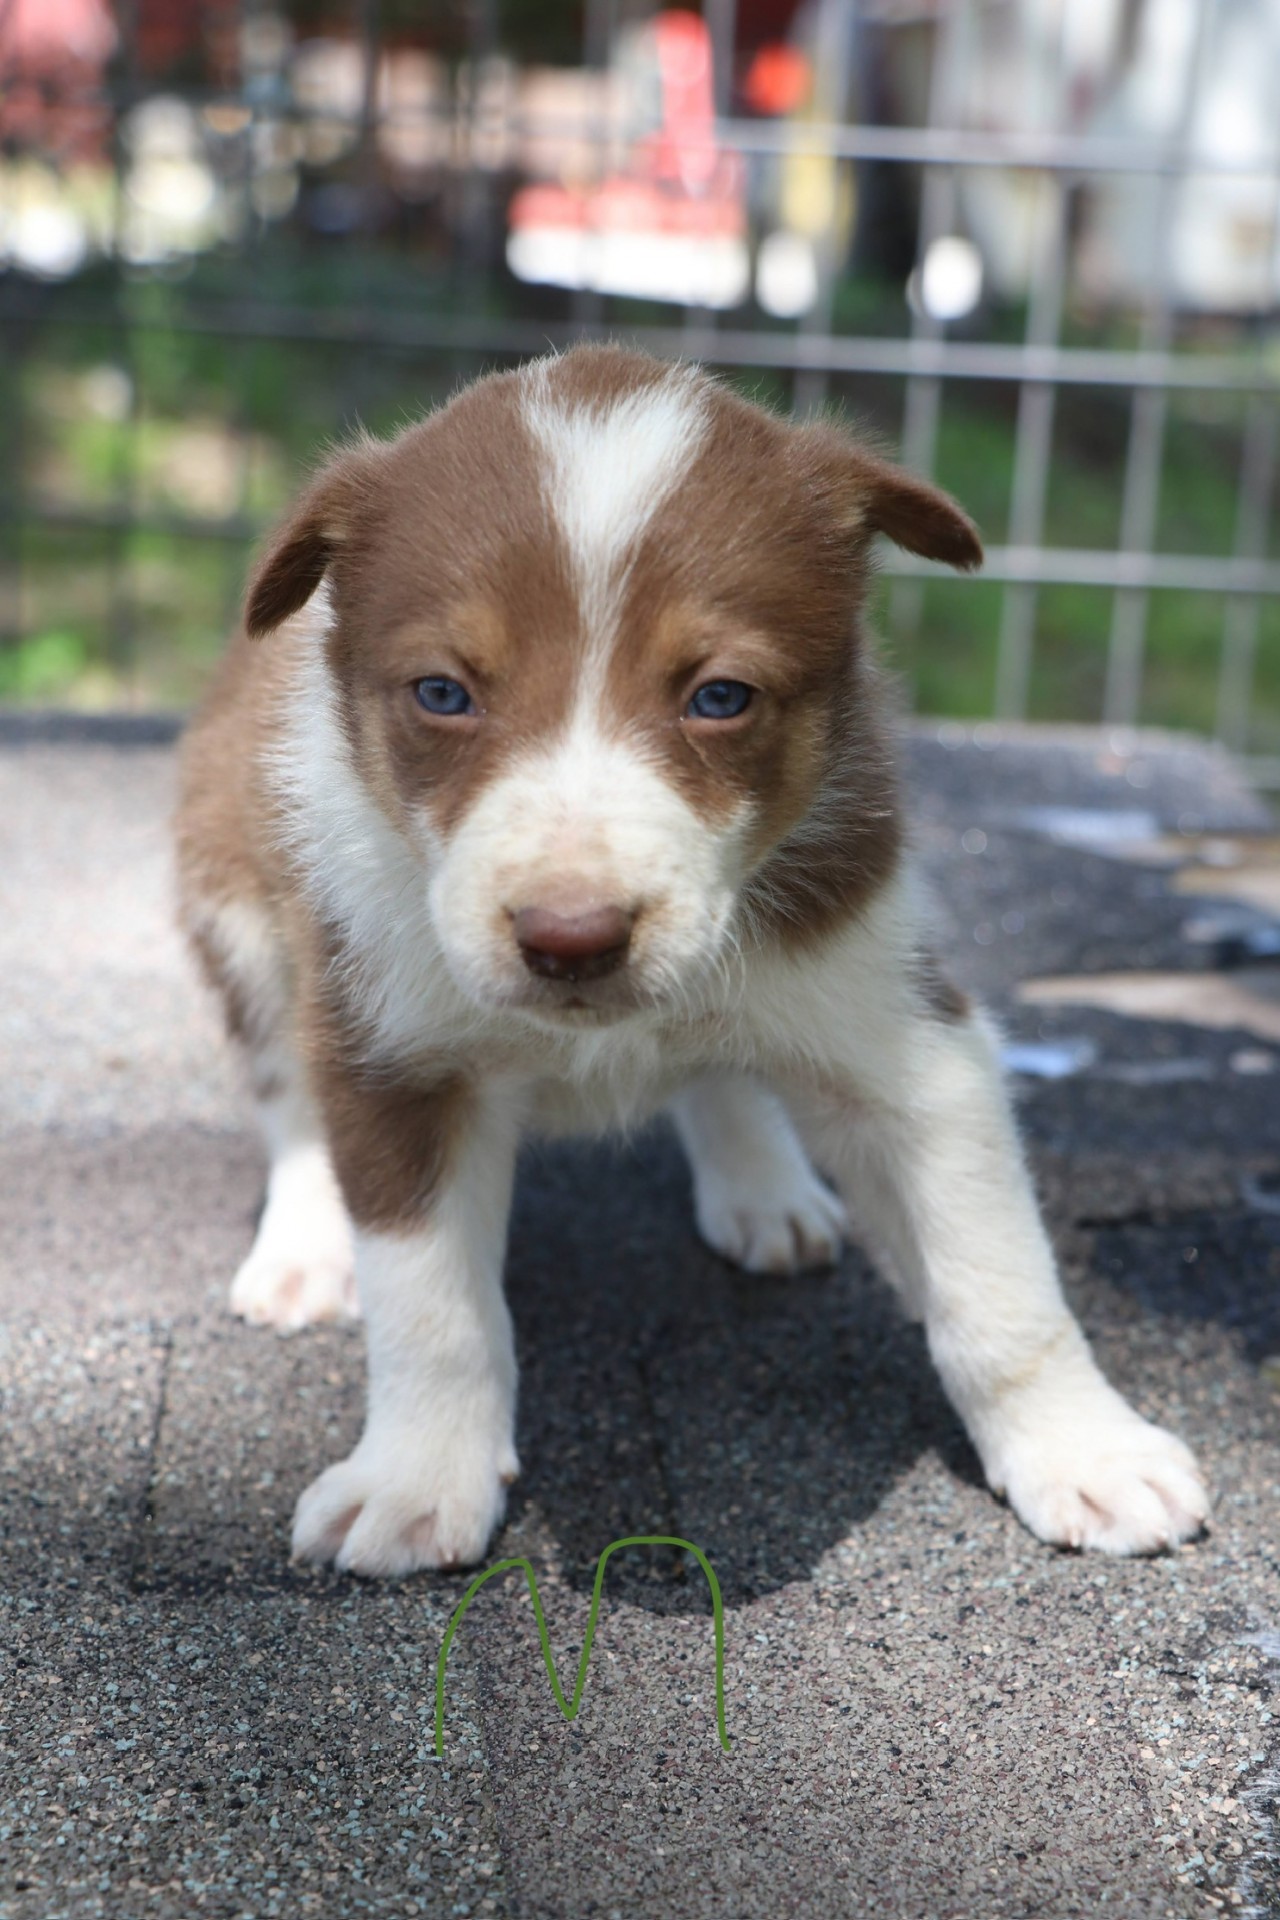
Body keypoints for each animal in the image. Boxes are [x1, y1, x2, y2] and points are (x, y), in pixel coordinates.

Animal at [177, 341, 1212, 1574]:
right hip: (238, 911)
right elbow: (428, 1300)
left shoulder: (905, 1030)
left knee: (724, 1070)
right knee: (287, 1099)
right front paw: (415, 1481)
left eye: (719, 696)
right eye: (441, 692)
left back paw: (765, 1186)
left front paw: (1083, 1452)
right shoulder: (390, 1050)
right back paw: (304, 1252)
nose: (570, 937)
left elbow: (1001, 1284)